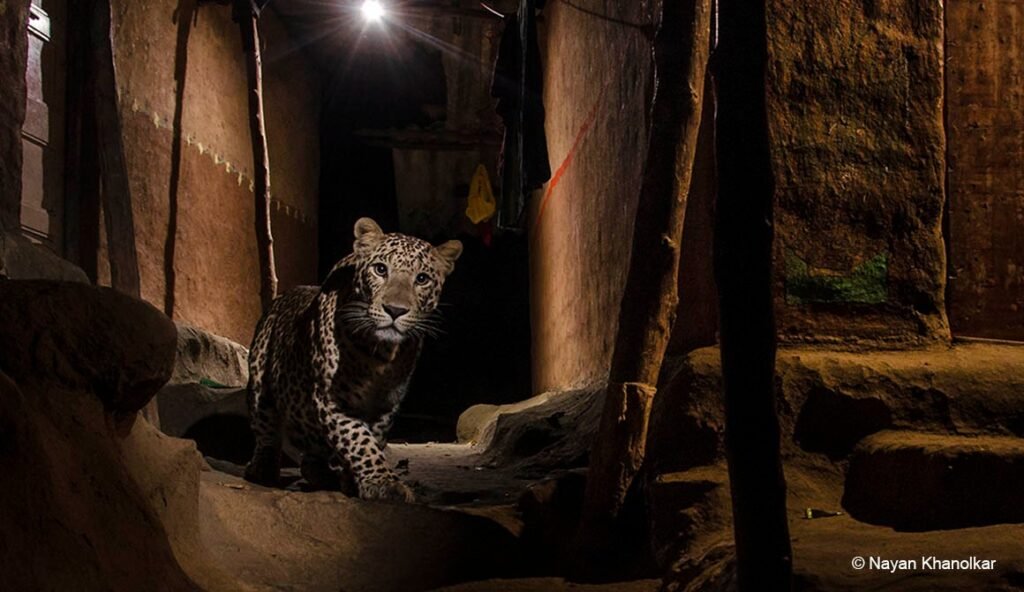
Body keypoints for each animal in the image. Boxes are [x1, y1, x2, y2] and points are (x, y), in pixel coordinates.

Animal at [243, 217, 462, 501]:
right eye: (380, 269)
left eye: (422, 279)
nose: (395, 310)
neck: (382, 355)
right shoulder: (332, 400)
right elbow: (359, 440)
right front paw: (384, 483)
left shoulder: (385, 405)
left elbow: (372, 439)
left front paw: (355, 480)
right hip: (260, 384)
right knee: (266, 431)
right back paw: (263, 468)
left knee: (310, 459)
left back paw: (324, 475)